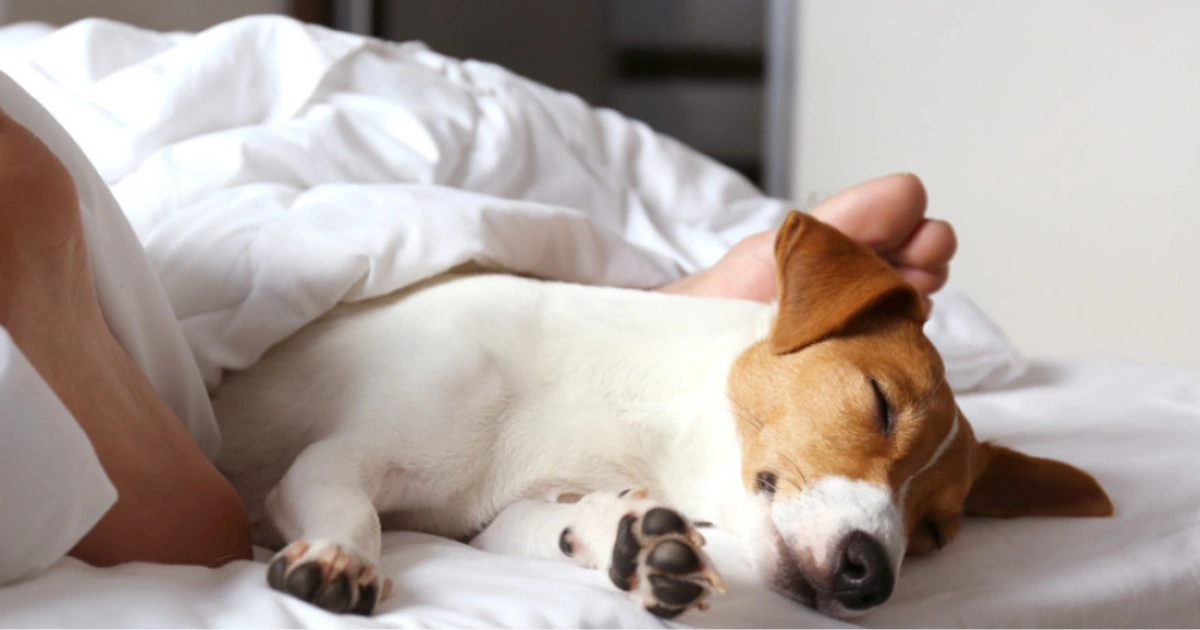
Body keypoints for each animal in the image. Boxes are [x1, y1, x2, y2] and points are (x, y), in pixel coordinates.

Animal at [212, 211, 1113, 619]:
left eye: (933, 534)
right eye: (879, 403)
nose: (871, 577)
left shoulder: (496, 517)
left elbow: (552, 527)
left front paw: (635, 543)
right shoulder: (332, 462)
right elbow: (353, 509)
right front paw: (340, 557)